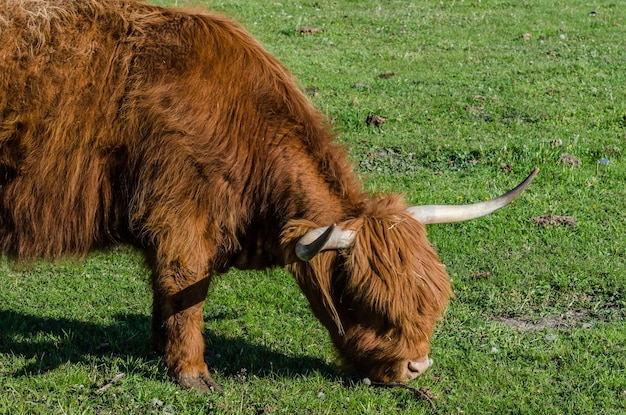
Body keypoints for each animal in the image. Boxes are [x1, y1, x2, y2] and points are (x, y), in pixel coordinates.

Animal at [0, 0, 536, 394]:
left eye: (431, 300)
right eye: (363, 300)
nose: (416, 368)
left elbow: (167, 297)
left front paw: (160, 349)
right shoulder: (178, 217)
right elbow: (185, 290)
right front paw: (192, 374)